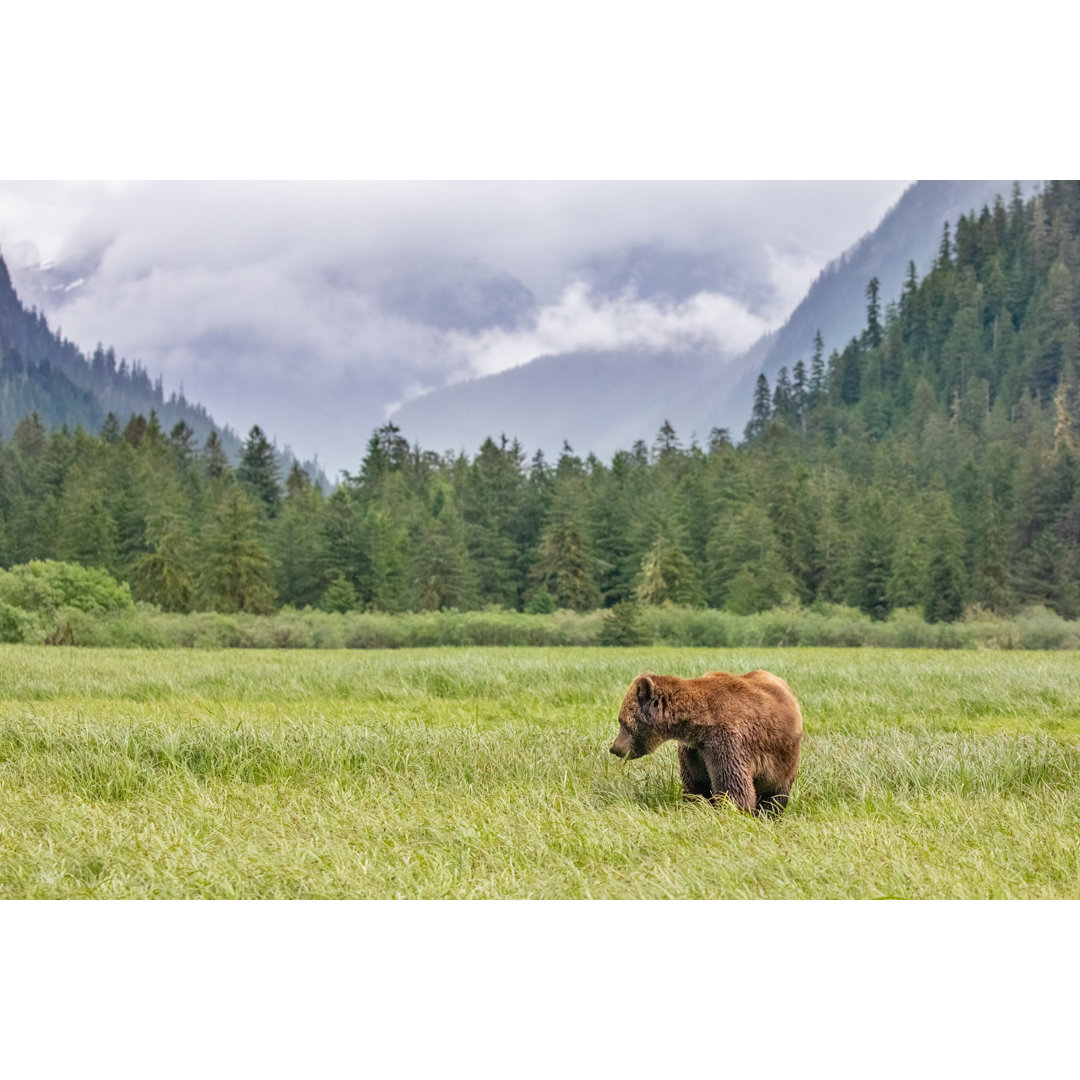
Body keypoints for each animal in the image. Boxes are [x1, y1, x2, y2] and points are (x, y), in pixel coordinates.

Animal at [609, 669, 803, 812]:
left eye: (622, 722)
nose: (614, 748)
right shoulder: (694, 750)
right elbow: (697, 784)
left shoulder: (726, 742)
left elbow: (733, 788)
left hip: (783, 758)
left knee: (776, 793)